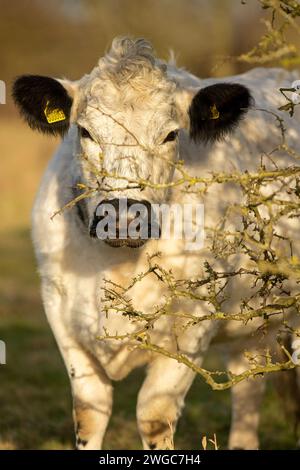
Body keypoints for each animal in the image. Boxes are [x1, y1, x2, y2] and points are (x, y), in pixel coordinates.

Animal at [12, 35, 300, 448]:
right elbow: (89, 411)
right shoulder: (60, 310)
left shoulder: (195, 321)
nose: (122, 217)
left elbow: (154, 414)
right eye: (85, 132)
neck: (116, 265)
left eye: (170, 134)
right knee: (248, 382)